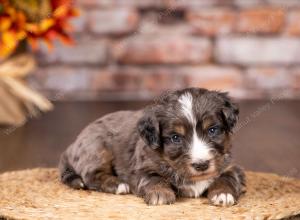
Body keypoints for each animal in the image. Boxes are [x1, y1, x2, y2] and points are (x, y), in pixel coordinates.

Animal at [59, 87, 246, 206]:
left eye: (213, 130)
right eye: (175, 138)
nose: (201, 165)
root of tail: (72, 145)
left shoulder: (230, 165)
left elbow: (227, 177)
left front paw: (223, 194)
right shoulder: (142, 168)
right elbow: (153, 177)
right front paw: (160, 193)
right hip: (97, 147)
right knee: (91, 174)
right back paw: (118, 184)